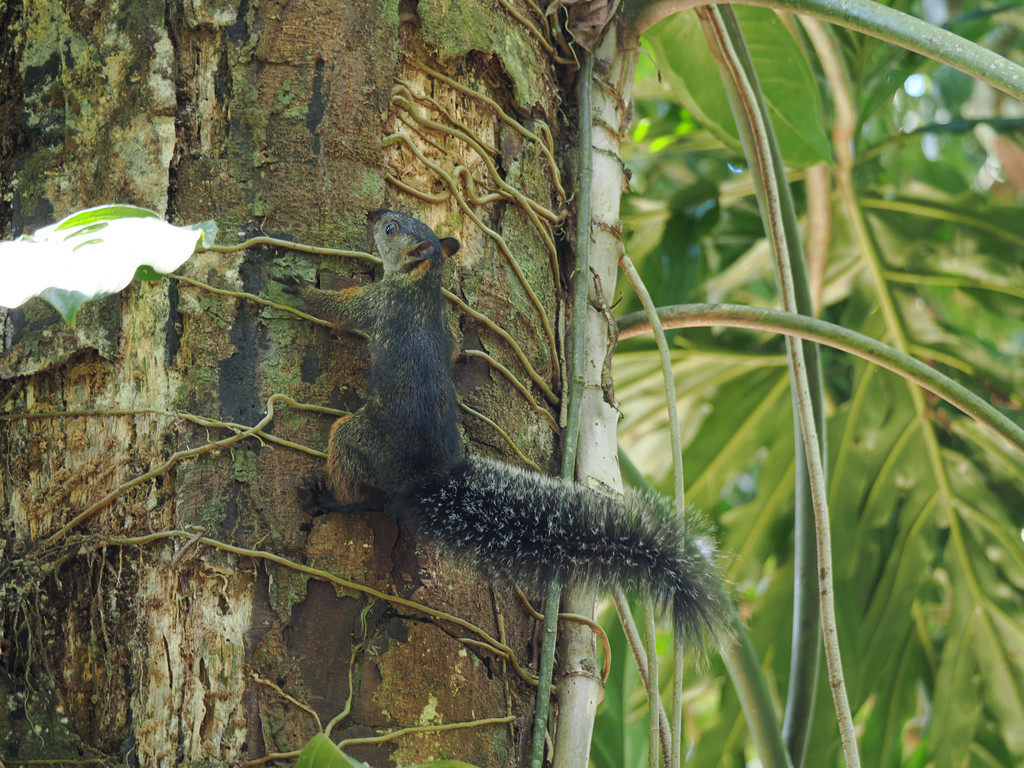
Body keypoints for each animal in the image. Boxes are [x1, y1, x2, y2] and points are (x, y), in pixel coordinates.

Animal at [276, 208, 733, 651]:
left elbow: (340, 312)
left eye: (391, 228)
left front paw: (299, 290)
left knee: (358, 485)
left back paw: (326, 497)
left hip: (360, 439)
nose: (372, 213)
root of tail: (426, 477)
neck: (423, 283)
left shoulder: (378, 301)